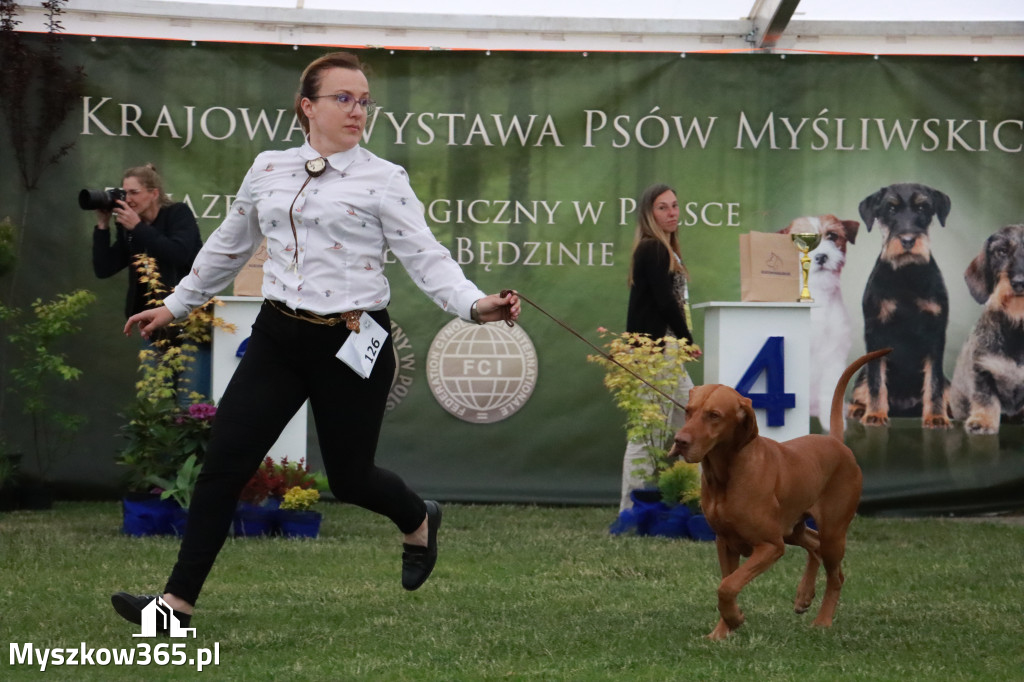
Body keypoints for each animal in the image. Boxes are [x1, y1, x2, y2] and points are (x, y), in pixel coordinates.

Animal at [667, 348, 892, 638]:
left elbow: (726, 587)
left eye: (714, 415)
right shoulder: (725, 542)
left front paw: (735, 619)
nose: (679, 442)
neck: (727, 473)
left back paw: (823, 620)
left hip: (831, 533)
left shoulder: (770, 546)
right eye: (688, 411)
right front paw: (722, 631)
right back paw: (804, 595)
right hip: (791, 529)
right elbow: (726, 584)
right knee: (814, 544)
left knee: (836, 574)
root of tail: (835, 442)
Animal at [847, 180, 950, 425]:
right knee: (861, 389)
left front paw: (936, 417)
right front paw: (875, 414)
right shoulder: (875, 332)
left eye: (922, 208)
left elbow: (934, 382)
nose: (908, 240)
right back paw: (858, 409)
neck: (906, 274)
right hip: (861, 375)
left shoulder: (936, 333)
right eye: (891, 209)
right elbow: (876, 380)